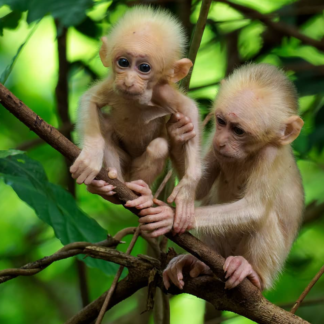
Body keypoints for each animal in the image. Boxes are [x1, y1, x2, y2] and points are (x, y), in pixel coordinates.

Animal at [69, 5, 201, 233]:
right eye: (123, 62)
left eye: (144, 67)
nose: (129, 81)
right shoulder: (112, 86)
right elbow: (90, 100)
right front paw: (91, 155)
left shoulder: (164, 92)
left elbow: (190, 110)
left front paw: (187, 190)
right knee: (106, 132)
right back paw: (107, 187)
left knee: (158, 147)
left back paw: (143, 194)